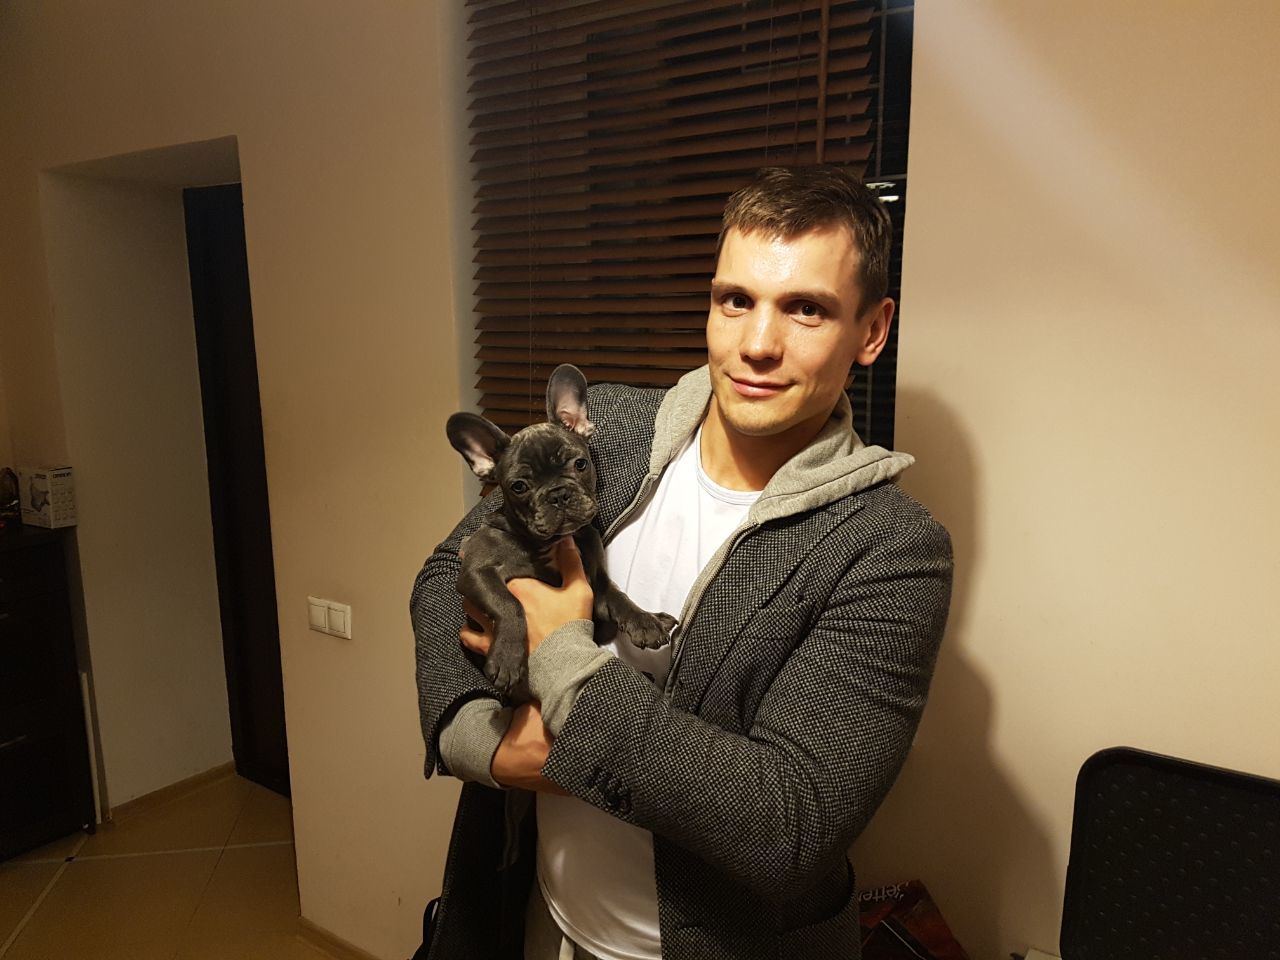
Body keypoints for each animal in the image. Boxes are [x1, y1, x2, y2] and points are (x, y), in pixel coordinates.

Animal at [447, 364, 676, 697]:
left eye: (580, 464)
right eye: (519, 486)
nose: (558, 495)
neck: (546, 542)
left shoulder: (597, 588)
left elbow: (615, 594)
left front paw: (644, 621)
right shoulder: (475, 572)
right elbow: (508, 603)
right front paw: (507, 657)